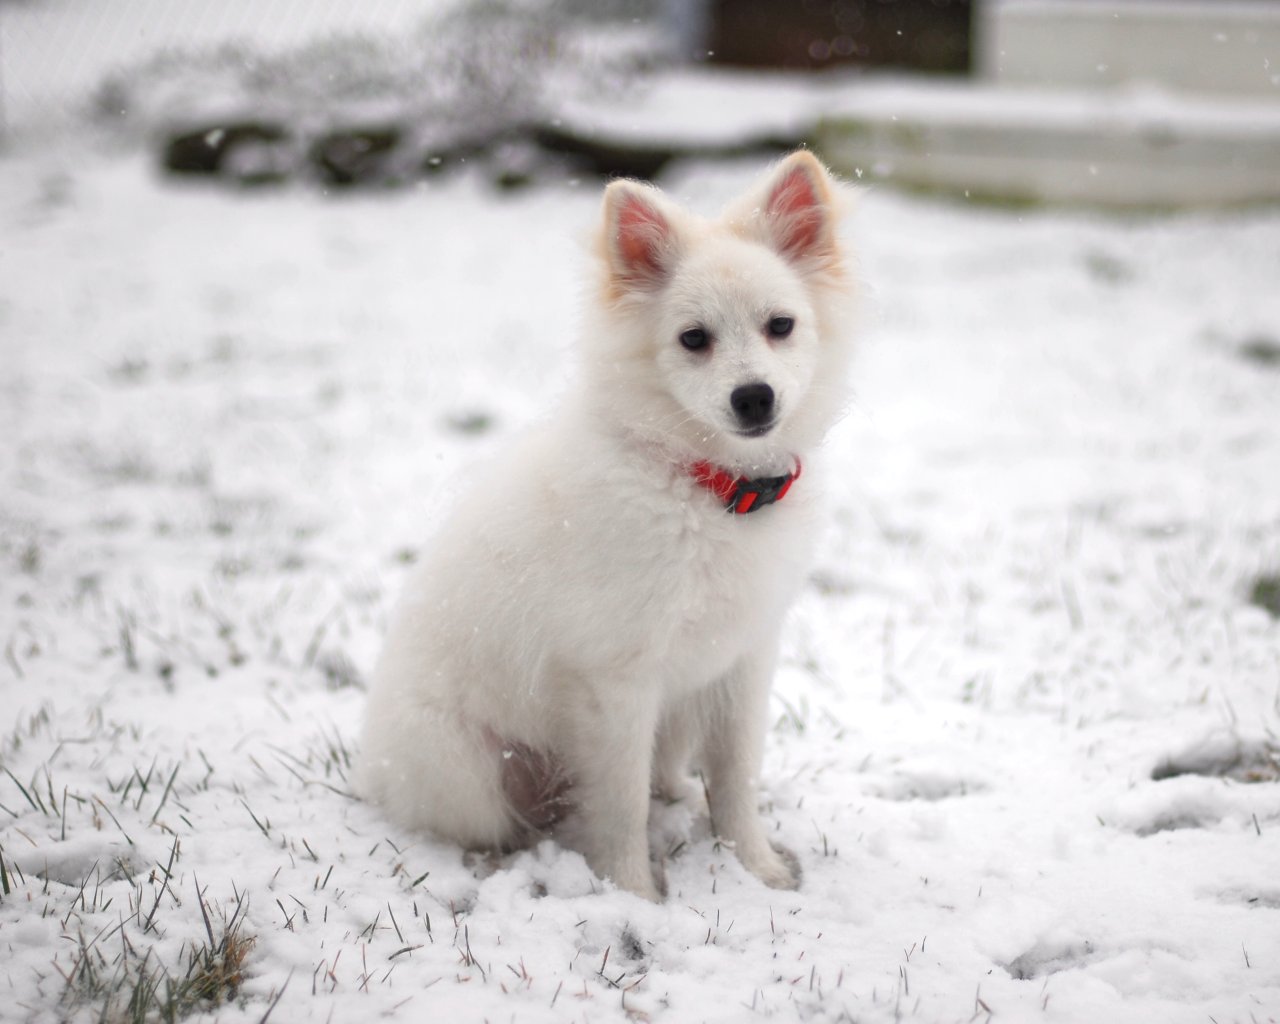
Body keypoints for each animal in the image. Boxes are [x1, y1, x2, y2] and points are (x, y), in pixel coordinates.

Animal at [360, 149, 855, 896]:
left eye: (781, 326)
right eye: (693, 340)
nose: (754, 397)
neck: (707, 488)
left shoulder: (742, 661)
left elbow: (736, 780)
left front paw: (756, 869)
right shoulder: (615, 681)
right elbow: (620, 805)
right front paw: (634, 894)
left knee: (665, 776)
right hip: (467, 772)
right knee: (496, 823)